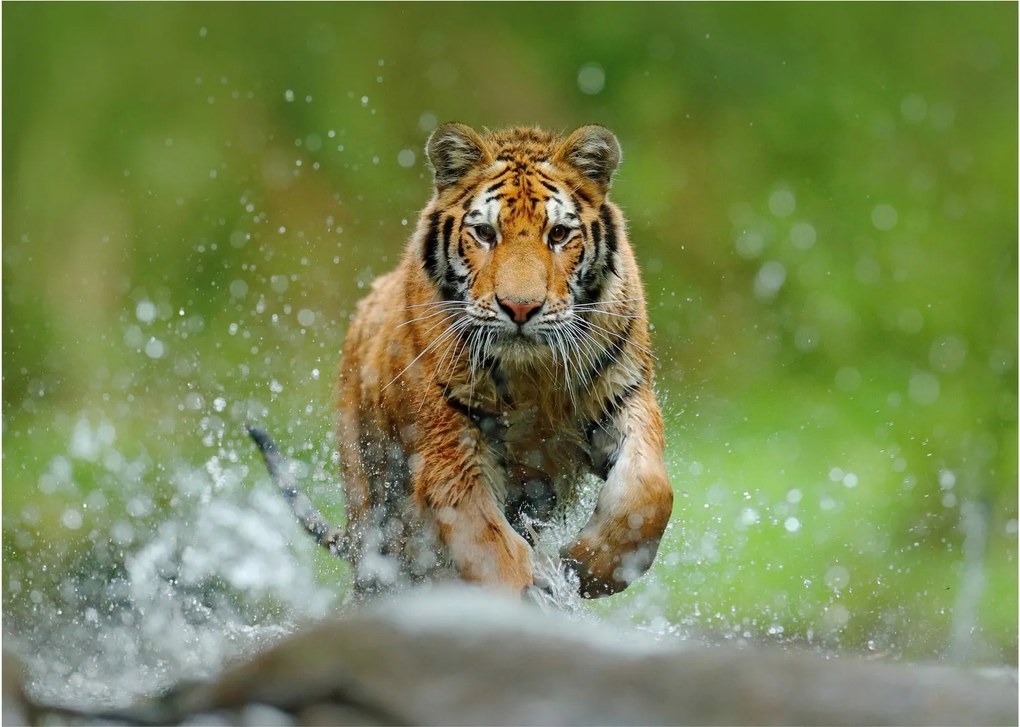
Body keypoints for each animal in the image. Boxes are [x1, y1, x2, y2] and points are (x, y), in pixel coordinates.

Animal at [335, 123, 674, 598]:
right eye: (485, 233)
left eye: (558, 234)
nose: (519, 308)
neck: (534, 376)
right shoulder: (452, 452)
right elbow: (489, 549)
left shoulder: (624, 397)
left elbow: (649, 491)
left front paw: (585, 566)